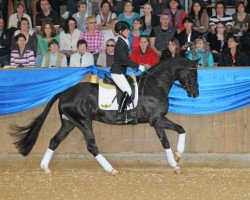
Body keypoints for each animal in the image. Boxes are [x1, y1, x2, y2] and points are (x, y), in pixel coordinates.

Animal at [9, 57, 199, 173]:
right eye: (192, 73)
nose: (195, 94)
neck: (155, 85)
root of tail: (64, 92)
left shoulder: (157, 121)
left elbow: (166, 141)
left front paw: (175, 163)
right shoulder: (157, 120)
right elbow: (181, 129)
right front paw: (179, 154)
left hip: (70, 123)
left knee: (54, 141)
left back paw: (45, 167)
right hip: (84, 122)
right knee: (92, 146)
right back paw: (111, 169)